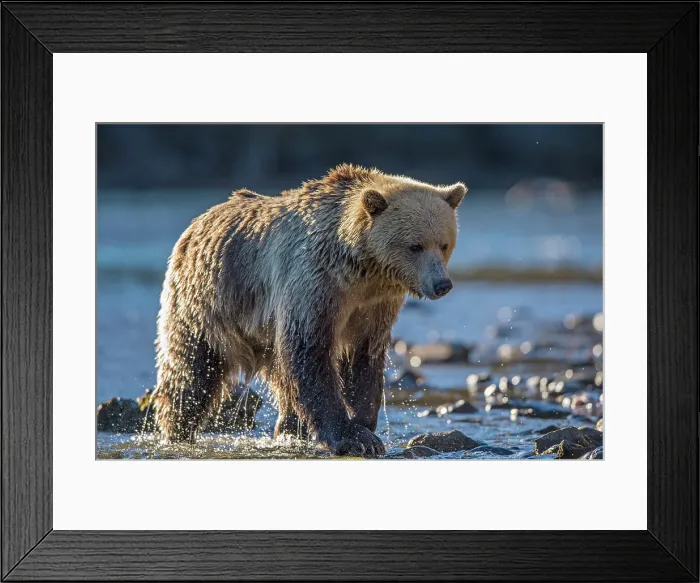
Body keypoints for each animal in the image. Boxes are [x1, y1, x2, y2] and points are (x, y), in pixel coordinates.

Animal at [153, 164, 466, 457]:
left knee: (281, 379)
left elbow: (364, 357)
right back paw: (177, 430)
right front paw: (351, 437)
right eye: (415, 246)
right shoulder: (314, 283)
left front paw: (364, 423)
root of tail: (197, 222)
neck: (361, 269)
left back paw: (289, 428)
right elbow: (309, 350)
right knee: (191, 370)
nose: (442, 284)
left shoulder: (374, 306)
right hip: (208, 300)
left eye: (444, 244)